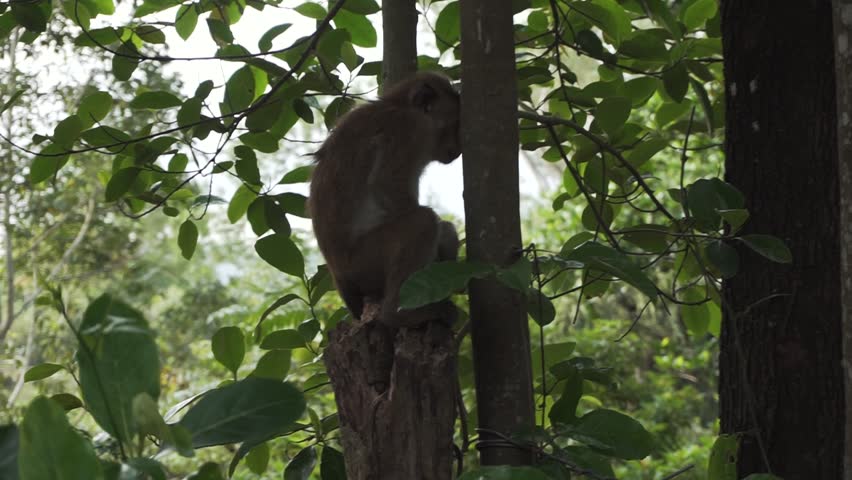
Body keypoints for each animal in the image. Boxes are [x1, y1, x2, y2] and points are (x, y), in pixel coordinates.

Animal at [308, 71, 462, 327]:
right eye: (454, 126)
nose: (458, 150)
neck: (396, 104)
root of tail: (339, 277)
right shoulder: (409, 130)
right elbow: (387, 185)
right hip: (364, 263)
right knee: (423, 221)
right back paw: (399, 314)